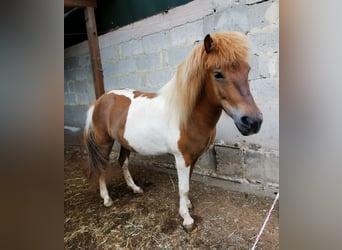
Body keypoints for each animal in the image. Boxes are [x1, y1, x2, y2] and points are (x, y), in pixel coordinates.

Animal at [84, 31, 264, 232]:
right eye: (218, 74)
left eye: (247, 70)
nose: (253, 122)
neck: (187, 115)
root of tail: (100, 100)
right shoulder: (182, 158)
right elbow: (183, 187)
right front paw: (186, 218)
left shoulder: (193, 157)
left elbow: (188, 184)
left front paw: (188, 205)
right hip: (103, 143)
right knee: (101, 166)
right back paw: (107, 199)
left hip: (125, 142)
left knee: (122, 162)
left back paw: (135, 188)